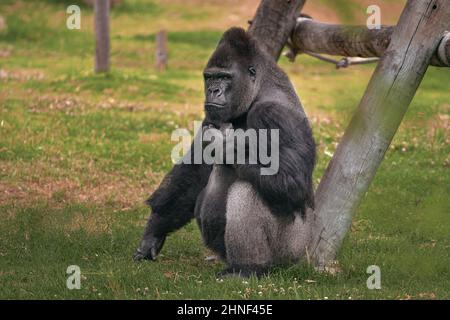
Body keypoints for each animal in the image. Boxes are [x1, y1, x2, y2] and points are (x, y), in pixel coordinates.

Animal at [134, 28, 316, 278]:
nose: (213, 91)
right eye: (210, 77)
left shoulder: (273, 114)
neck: (258, 89)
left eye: (226, 78)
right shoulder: (212, 115)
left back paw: (248, 268)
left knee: (247, 189)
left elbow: (294, 183)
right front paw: (154, 231)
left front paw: (224, 145)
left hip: (293, 251)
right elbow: (192, 176)